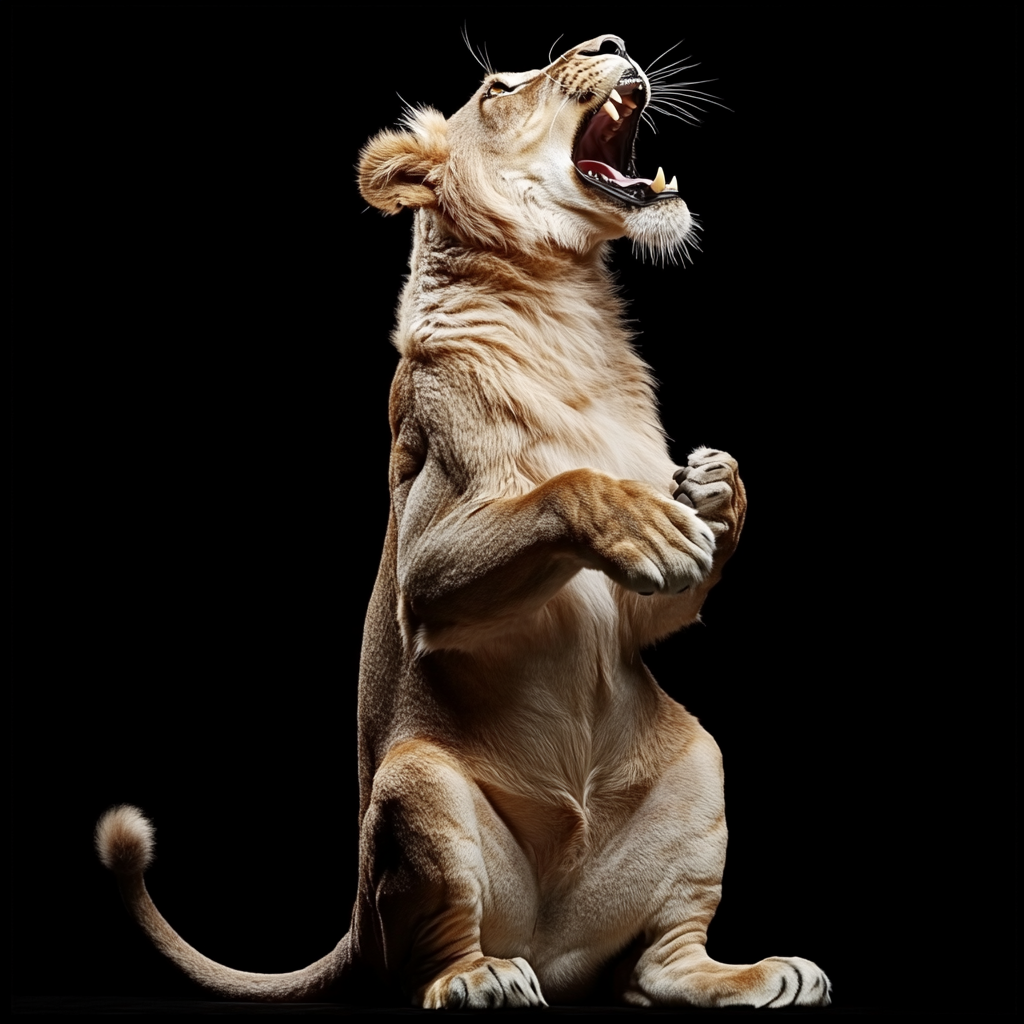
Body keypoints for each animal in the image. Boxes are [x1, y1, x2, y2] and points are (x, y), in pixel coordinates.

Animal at [96, 32, 831, 1007]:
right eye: (500, 88)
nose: (612, 41)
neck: (568, 309)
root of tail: (554, 948)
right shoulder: (425, 558)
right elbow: (564, 490)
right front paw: (644, 519)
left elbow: (660, 591)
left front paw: (715, 486)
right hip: (417, 790)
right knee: (431, 952)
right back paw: (481, 980)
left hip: (702, 762)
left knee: (653, 965)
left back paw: (758, 974)